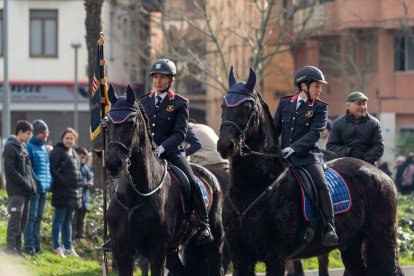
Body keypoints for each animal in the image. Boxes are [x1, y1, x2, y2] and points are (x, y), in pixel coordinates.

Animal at [105, 86, 225, 276]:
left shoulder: (157, 250)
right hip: (173, 252)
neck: (135, 195)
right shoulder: (121, 251)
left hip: (215, 241)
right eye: (108, 122)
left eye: (131, 123)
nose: (113, 164)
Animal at [215, 67, 402, 276]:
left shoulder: (275, 256)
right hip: (351, 245)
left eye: (247, 107)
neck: (252, 187)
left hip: (381, 240)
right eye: (223, 104)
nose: (225, 145)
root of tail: (381, 174)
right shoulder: (241, 258)